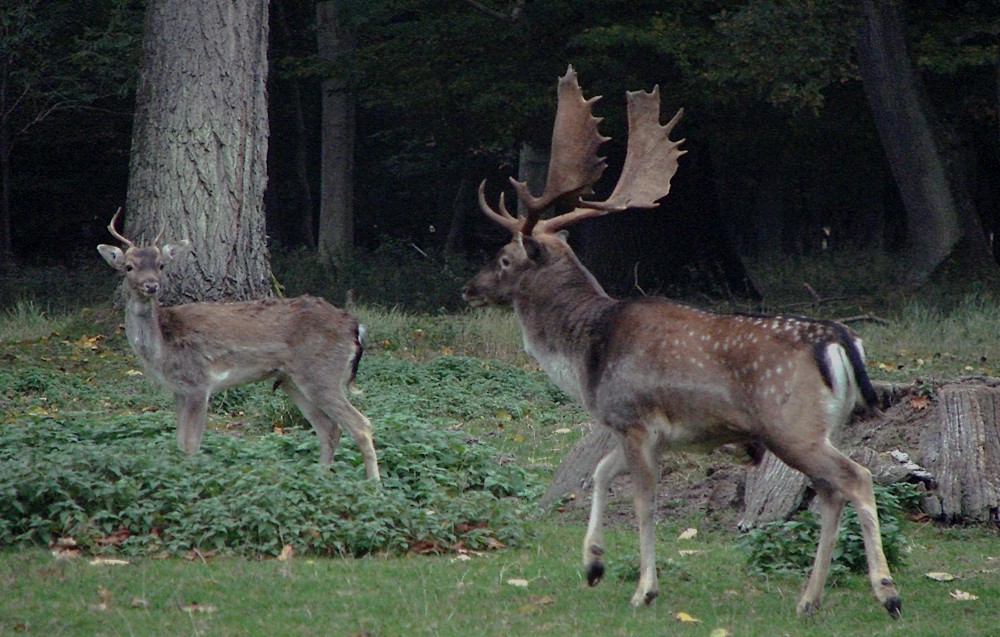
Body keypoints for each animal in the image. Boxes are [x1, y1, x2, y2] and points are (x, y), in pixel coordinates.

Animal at [97, 211, 378, 480]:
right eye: (129, 266)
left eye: (161, 265)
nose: (151, 285)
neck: (162, 349)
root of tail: (355, 326)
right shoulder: (179, 390)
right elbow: (179, 442)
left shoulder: (199, 383)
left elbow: (191, 444)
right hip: (293, 381)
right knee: (330, 428)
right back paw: (321, 478)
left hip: (321, 374)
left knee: (361, 424)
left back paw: (373, 486)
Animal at [464, 67, 904, 620]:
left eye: (504, 258)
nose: (469, 288)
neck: (586, 356)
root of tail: (840, 337)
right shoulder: (638, 430)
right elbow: (600, 476)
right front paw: (593, 564)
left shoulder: (632, 418)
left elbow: (643, 503)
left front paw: (644, 589)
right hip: (824, 427)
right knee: (829, 493)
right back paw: (809, 599)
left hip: (791, 423)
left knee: (856, 479)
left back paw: (887, 593)